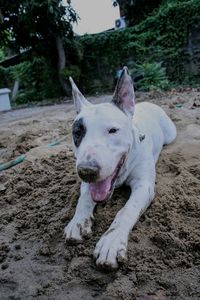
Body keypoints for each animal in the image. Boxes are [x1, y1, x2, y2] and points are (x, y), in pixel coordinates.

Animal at [64, 67, 177, 270]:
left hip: (171, 134)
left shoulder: (144, 186)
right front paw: (78, 221)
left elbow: (126, 210)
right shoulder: (86, 183)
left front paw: (111, 242)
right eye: (77, 133)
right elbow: (84, 199)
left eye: (113, 130)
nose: (87, 171)